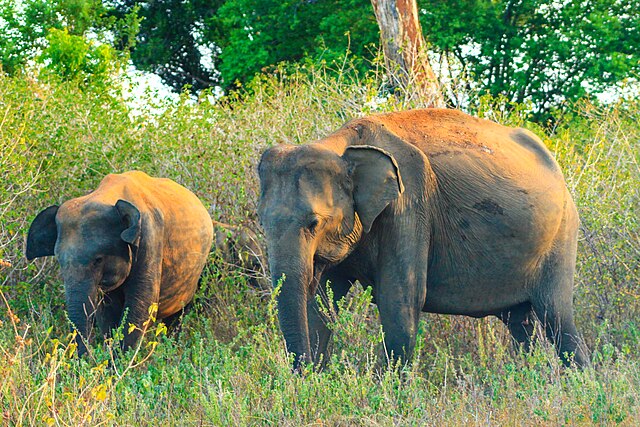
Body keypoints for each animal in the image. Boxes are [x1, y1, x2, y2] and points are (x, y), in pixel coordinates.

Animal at [26, 172, 214, 356]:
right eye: (59, 261)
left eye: (98, 260)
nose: (86, 358)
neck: (106, 196)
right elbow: (107, 311)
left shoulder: (149, 238)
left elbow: (141, 304)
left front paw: (120, 361)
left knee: (178, 317)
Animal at [258, 109, 592, 372]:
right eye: (261, 222)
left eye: (314, 223)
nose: (301, 376)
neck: (341, 145)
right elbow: (321, 305)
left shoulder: (409, 204)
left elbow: (400, 300)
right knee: (520, 322)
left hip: (562, 234)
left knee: (557, 318)